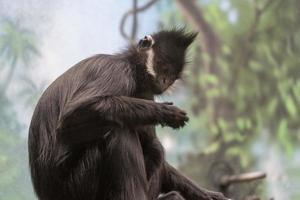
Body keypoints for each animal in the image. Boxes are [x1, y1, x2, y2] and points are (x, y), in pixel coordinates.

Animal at [28, 28, 227, 200]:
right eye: (162, 66)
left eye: (171, 76)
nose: (165, 81)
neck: (133, 67)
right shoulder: (119, 70)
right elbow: (72, 115)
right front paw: (164, 112)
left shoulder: (145, 92)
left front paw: (206, 194)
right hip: (78, 184)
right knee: (119, 131)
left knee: (153, 147)